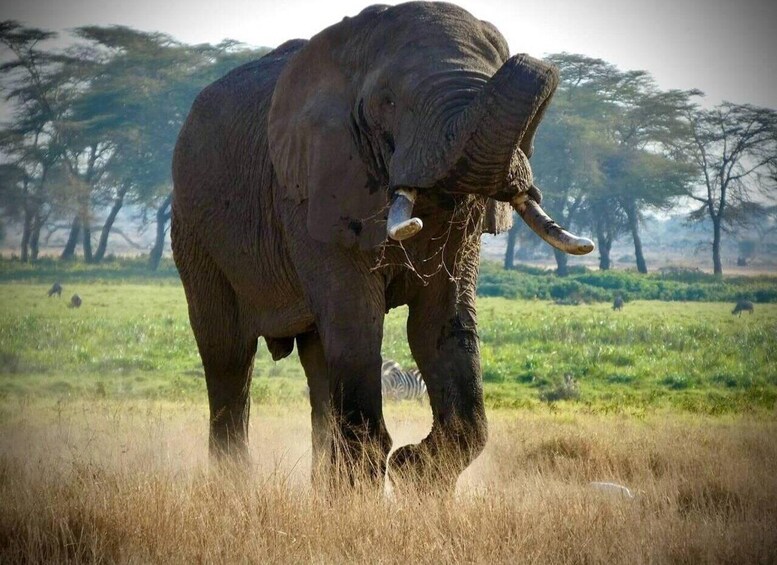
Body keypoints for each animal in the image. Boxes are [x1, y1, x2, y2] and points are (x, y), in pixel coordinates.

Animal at [171, 1, 593, 491]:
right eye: (387, 103)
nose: (543, 64)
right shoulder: (313, 189)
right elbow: (358, 323)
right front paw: (370, 491)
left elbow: (440, 323)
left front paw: (413, 476)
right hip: (193, 228)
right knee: (228, 352)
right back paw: (234, 488)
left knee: (318, 359)